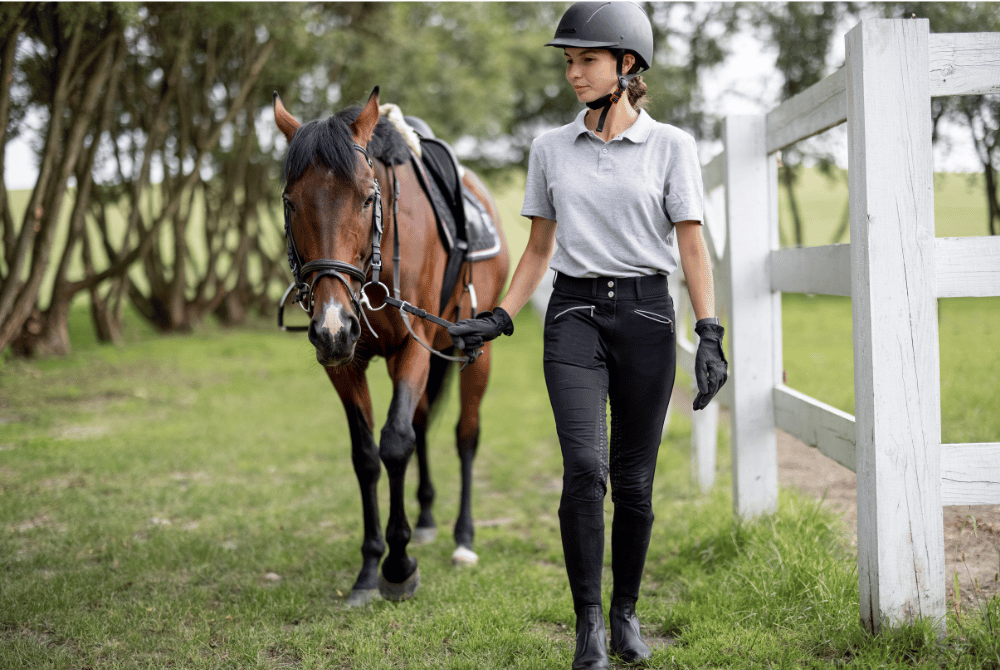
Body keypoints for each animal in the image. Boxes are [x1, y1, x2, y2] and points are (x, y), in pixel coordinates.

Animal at [272, 86, 508, 608]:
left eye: (367, 198)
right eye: (291, 202)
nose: (332, 324)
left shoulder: (413, 348)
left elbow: (396, 443)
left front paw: (398, 568)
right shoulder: (343, 362)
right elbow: (366, 455)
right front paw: (368, 568)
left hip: (472, 349)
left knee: (466, 434)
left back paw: (463, 538)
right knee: (421, 421)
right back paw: (425, 520)